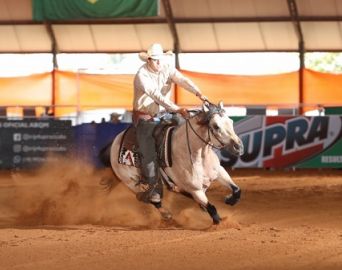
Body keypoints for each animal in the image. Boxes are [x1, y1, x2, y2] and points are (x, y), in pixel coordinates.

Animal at [100, 100, 244, 224]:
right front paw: (218, 222)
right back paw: (166, 214)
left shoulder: (219, 171)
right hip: (131, 182)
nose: (239, 147)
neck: (198, 155)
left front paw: (229, 200)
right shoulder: (195, 190)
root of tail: (115, 141)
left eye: (231, 121)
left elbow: (236, 190)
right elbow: (212, 208)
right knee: (152, 199)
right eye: (216, 126)